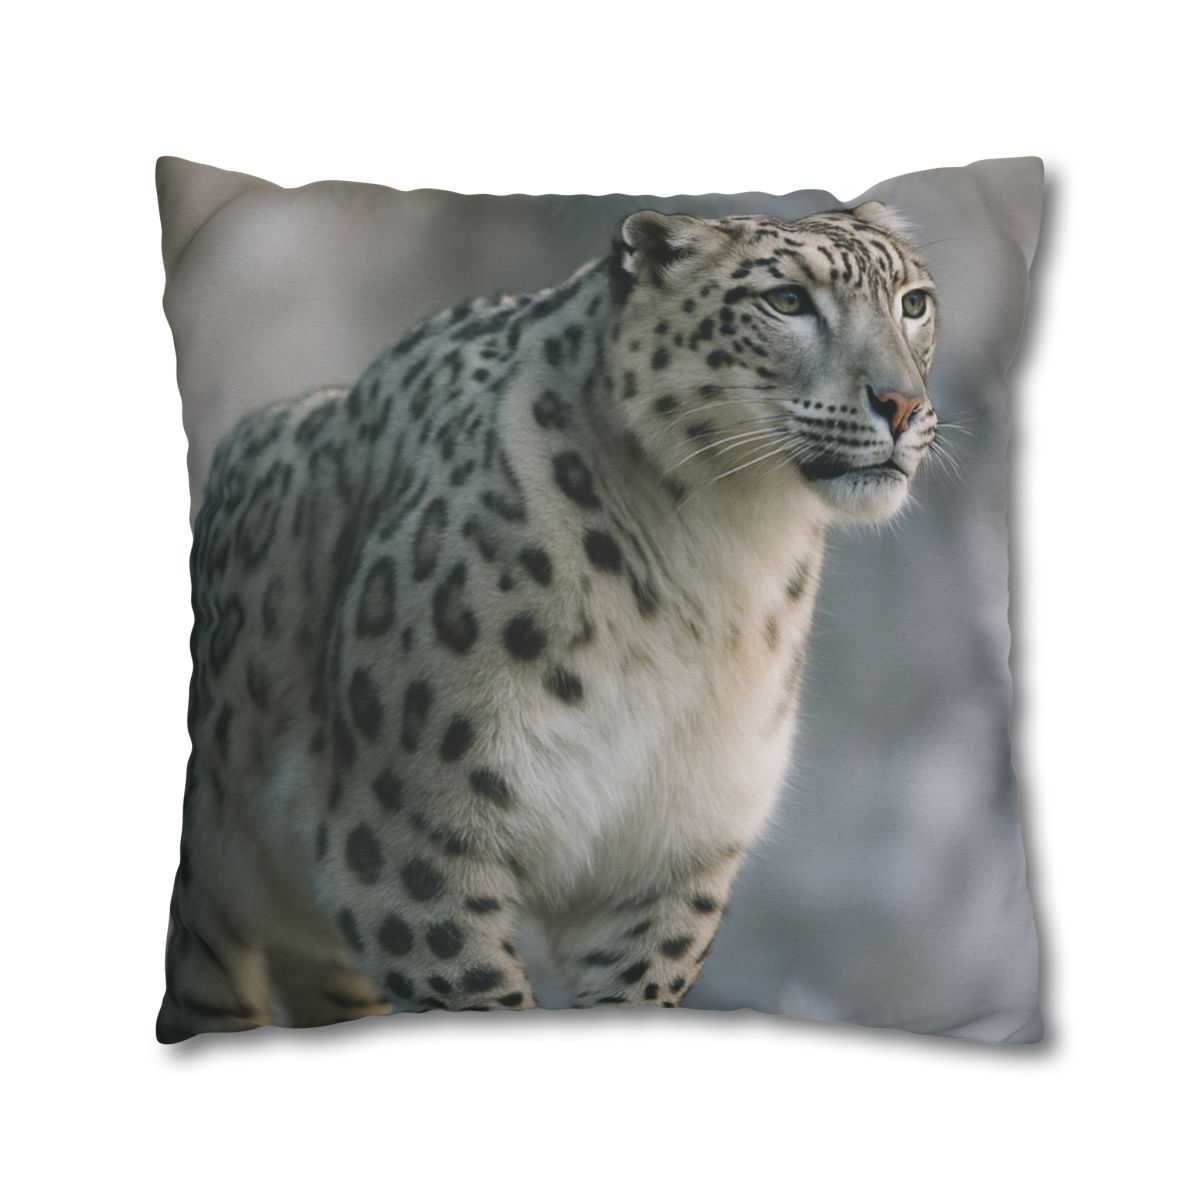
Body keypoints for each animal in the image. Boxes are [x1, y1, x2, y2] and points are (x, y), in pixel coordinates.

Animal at [157, 201, 939, 1041]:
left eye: (913, 303)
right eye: (786, 300)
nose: (902, 404)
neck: (723, 561)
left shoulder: (670, 853)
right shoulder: (410, 839)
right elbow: (476, 992)